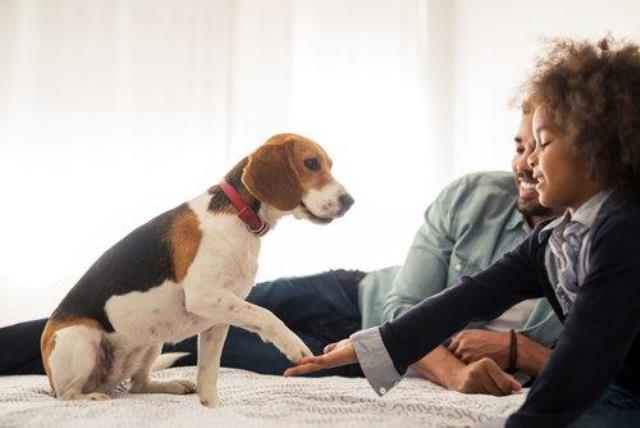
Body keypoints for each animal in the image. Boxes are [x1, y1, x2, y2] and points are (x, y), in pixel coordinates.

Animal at [40, 134, 356, 408]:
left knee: (138, 386)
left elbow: (208, 375)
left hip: (151, 342)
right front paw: (293, 344)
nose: (349, 201)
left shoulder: (218, 317)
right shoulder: (205, 296)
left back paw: (173, 384)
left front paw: (210, 407)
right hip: (79, 338)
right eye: (311, 163)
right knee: (68, 395)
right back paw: (90, 398)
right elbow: (266, 315)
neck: (239, 215)